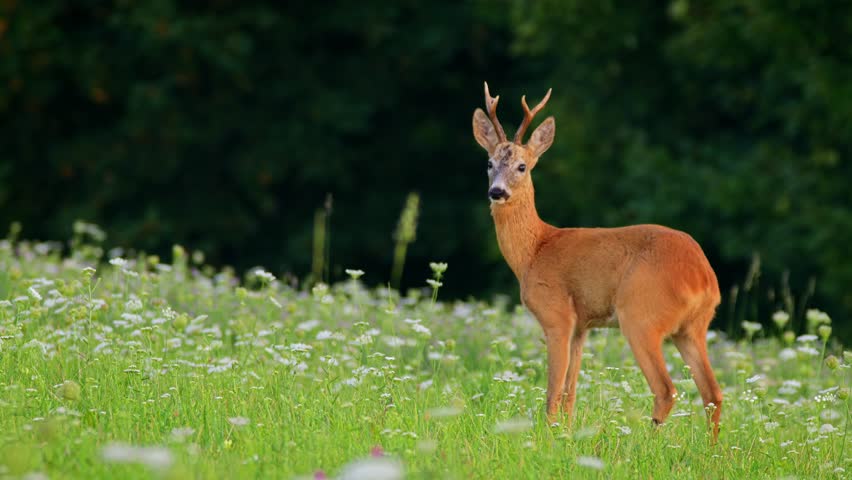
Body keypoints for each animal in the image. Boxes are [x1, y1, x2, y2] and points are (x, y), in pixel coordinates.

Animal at [472, 82, 723, 439]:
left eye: (523, 166)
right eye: (489, 163)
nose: (497, 192)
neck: (534, 249)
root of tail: (703, 277)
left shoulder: (557, 315)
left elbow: (552, 392)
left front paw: (547, 437)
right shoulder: (582, 326)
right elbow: (570, 393)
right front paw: (566, 435)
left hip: (641, 316)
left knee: (666, 389)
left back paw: (647, 443)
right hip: (692, 327)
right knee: (712, 393)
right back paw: (712, 449)